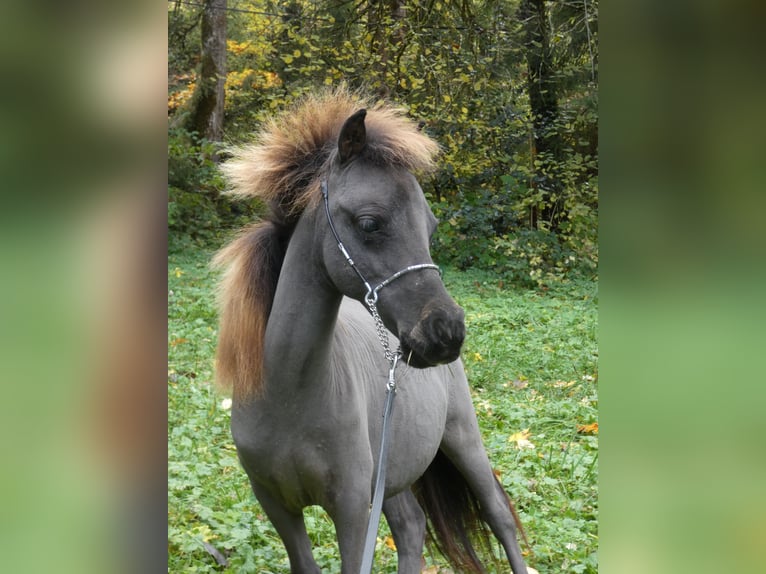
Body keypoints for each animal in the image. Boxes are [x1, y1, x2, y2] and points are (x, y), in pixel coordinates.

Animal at [213, 88, 528, 574]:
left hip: (462, 438)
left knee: (498, 514)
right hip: (393, 473)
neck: (288, 396)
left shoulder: (351, 509)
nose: (446, 331)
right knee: (412, 527)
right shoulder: (277, 506)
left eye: (430, 226)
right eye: (369, 223)